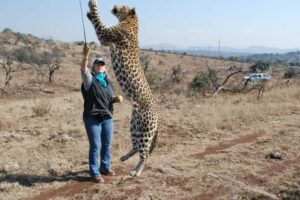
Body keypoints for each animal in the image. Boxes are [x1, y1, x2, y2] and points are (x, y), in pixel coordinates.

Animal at [86, 0, 159, 176]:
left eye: (124, 6)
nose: (115, 5)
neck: (130, 20)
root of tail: (158, 117)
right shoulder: (107, 38)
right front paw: (89, 13)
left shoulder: (105, 34)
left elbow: (99, 22)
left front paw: (93, 6)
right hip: (135, 125)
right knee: (137, 146)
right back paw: (124, 158)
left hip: (145, 130)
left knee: (145, 153)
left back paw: (136, 171)